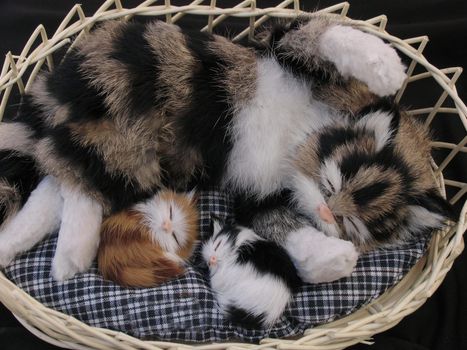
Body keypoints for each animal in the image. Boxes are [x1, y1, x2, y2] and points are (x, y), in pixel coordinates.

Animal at [0, 13, 450, 284]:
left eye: (352, 224)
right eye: (331, 180)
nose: (325, 211)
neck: (304, 134)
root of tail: (56, 86)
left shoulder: (259, 198)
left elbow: (280, 224)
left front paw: (330, 256)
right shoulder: (277, 43)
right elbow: (318, 32)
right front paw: (385, 66)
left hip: (126, 158)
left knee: (62, 182)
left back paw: (23, 246)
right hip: (122, 109)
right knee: (74, 181)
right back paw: (73, 251)